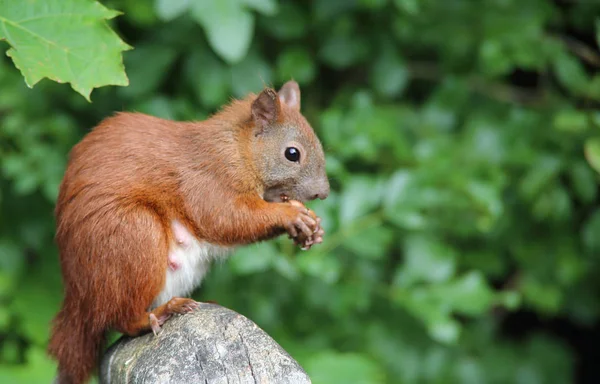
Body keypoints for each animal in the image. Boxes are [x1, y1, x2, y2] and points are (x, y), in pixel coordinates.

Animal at [48, 82, 328, 384]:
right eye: (292, 153)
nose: (323, 193)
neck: (237, 150)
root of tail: (78, 297)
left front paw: (312, 227)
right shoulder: (208, 181)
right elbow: (227, 219)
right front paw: (291, 215)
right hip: (133, 237)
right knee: (123, 319)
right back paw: (161, 313)